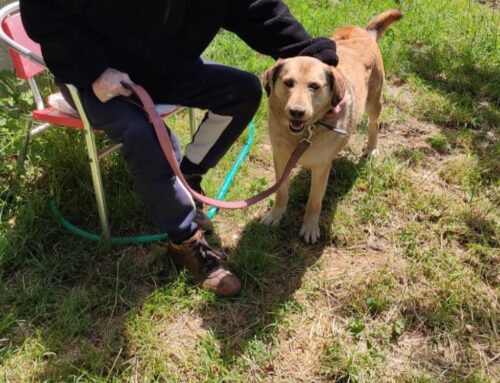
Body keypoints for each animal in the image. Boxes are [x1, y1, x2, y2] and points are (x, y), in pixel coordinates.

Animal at [262, 9, 402, 244]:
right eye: (288, 83)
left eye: (314, 86)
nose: (297, 112)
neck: (304, 134)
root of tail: (364, 32)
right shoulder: (280, 159)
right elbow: (281, 191)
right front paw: (276, 214)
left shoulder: (321, 168)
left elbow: (314, 201)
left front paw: (310, 227)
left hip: (373, 102)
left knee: (375, 123)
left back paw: (372, 148)